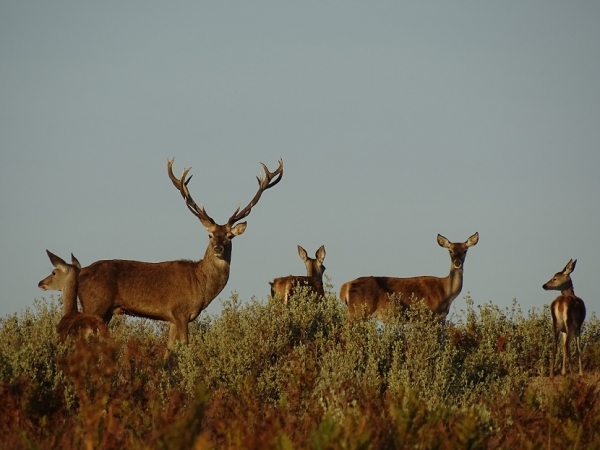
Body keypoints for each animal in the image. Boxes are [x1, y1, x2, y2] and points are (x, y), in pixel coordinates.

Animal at [76, 158, 282, 348]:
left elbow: (169, 350)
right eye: (210, 235)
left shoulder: (172, 318)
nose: (218, 248)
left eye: (230, 236)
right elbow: (185, 346)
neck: (199, 285)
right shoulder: (180, 311)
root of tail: (80, 272)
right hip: (95, 305)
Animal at [342, 232, 478, 320]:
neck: (446, 293)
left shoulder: (442, 316)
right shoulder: (429, 312)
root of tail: (346, 286)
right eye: (450, 250)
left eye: (465, 250)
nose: (457, 263)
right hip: (358, 311)